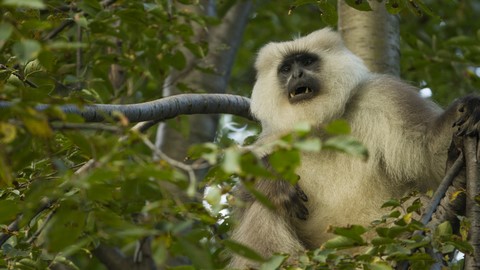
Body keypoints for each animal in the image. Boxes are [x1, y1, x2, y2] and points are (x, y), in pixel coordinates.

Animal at [228, 27, 480, 268]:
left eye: (307, 61)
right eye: (286, 68)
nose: (297, 74)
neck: (320, 131)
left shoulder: (383, 98)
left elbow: (428, 150)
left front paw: (470, 109)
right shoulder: (270, 141)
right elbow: (244, 202)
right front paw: (271, 178)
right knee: (267, 205)